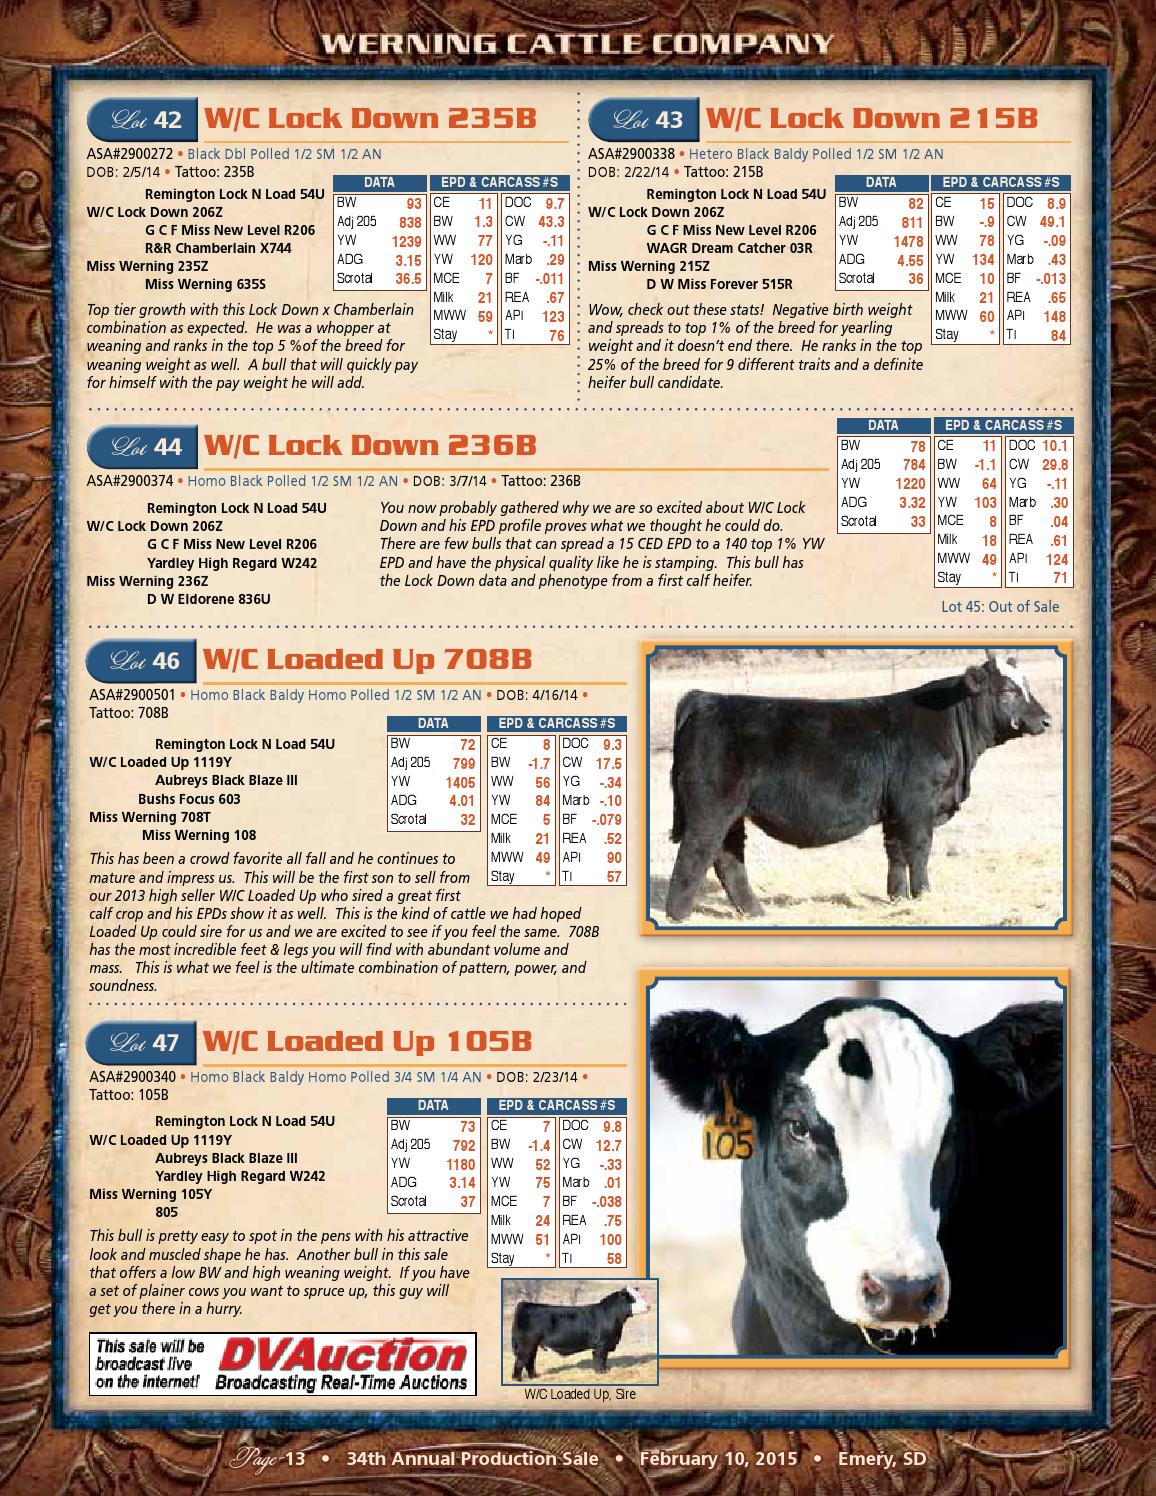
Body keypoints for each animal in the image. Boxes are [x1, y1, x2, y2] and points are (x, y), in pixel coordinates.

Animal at [510, 1286, 650, 1380]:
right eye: (633, 1299)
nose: (648, 1306)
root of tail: (526, 1304)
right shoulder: (602, 1344)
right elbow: (600, 1359)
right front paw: (601, 1373)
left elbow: (602, 1359)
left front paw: (603, 1372)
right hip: (526, 1344)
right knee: (520, 1361)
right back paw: (518, 1379)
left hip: (532, 1345)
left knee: (529, 1360)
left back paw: (534, 1376)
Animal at [663, 651, 1052, 921]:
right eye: (1008, 690)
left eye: (1027, 686)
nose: (1046, 719)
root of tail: (704, 697)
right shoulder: (917, 805)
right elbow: (919, 850)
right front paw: (924, 897)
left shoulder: (896, 811)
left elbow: (896, 853)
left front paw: (897, 899)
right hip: (710, 808)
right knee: (694, 855)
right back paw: (678, 916)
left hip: (733, 812)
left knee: (727, 859)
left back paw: (755, 913)